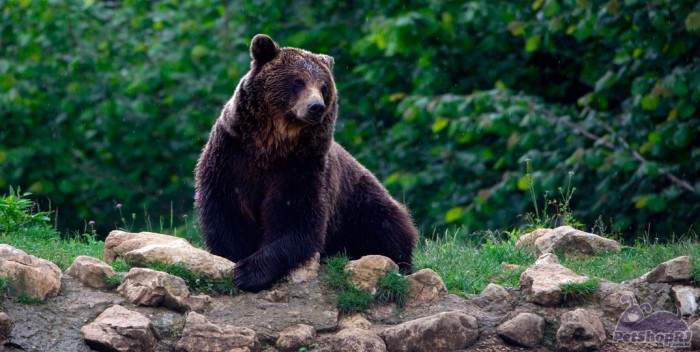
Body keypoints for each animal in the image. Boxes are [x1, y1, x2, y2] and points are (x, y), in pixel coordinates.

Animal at [194, 33, 418, 292]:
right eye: (297, 81)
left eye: (324, 86)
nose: (316, 107)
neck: (270, 146)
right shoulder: (231, 156)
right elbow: (226, 212)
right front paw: (235, 260)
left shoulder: (302, 167)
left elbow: (298, 220)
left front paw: (250, 271)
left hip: (361, 205)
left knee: (388, 229)